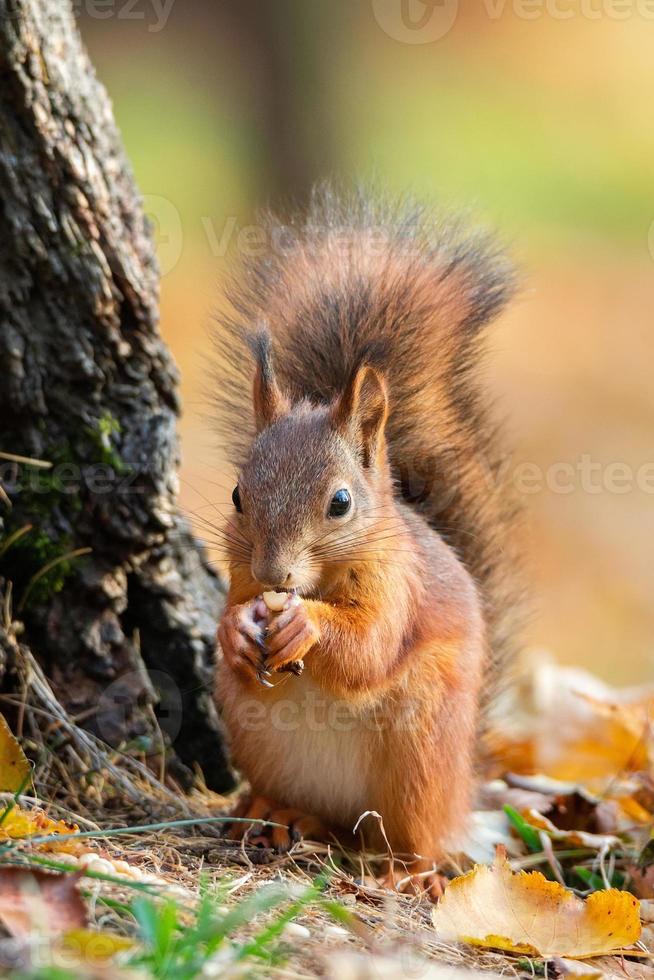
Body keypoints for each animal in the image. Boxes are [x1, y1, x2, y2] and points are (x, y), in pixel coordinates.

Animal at [214, 188, 524, 900]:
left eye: (340, 503)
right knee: (319, 816)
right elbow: (231, 613)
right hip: (257, 735)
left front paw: (306, 627)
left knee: (408, 837)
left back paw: (409, 873)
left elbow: (370, 649)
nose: (272, 571)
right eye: (238, 495)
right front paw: (238, 629)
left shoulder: (398, 588)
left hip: (420, 747)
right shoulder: (239, 573)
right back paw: (273, 812)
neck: (320, 582)